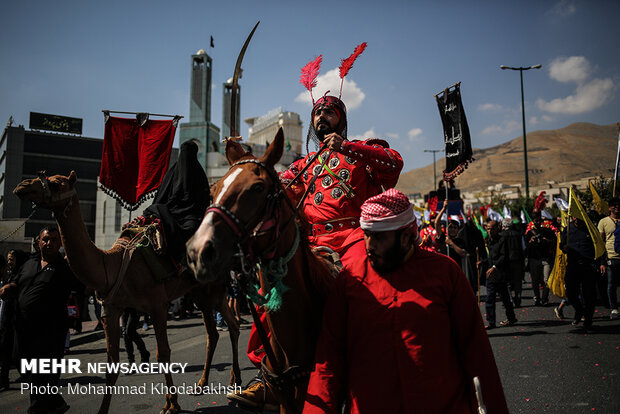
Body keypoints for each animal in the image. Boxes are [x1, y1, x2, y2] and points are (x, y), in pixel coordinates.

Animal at [13, 172, 242, 414]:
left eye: (57, 184)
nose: (23, 186)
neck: (110, 264)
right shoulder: (111, 310)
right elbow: (112, 364)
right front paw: (103, 410)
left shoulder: (157, 305)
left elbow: (163, 353)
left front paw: (171, 404)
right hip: (200, 291)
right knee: (215, 332)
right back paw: (203, 384)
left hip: (214, 287)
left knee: (231, 326)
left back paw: (234, 382)